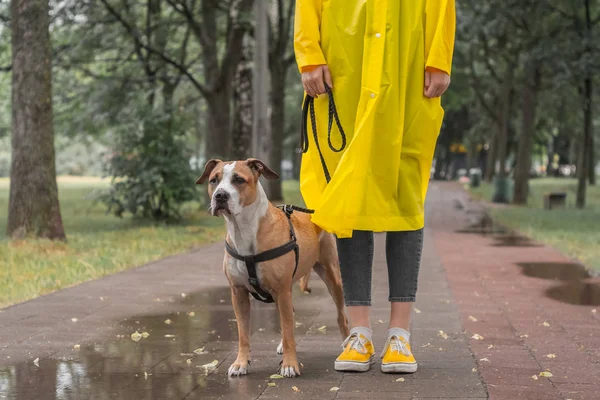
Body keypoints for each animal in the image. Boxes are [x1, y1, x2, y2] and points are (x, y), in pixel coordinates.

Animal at [197, 159, 350, 378]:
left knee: (340, 315)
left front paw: (290, 364)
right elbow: (243, 333)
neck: (244, 231)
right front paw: (240, 363)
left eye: (238, 179)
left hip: (331, 275)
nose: (220, 196)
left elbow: (287, 330)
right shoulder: (238, 293)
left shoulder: (281, 290)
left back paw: (347, 343)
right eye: (213, 180)